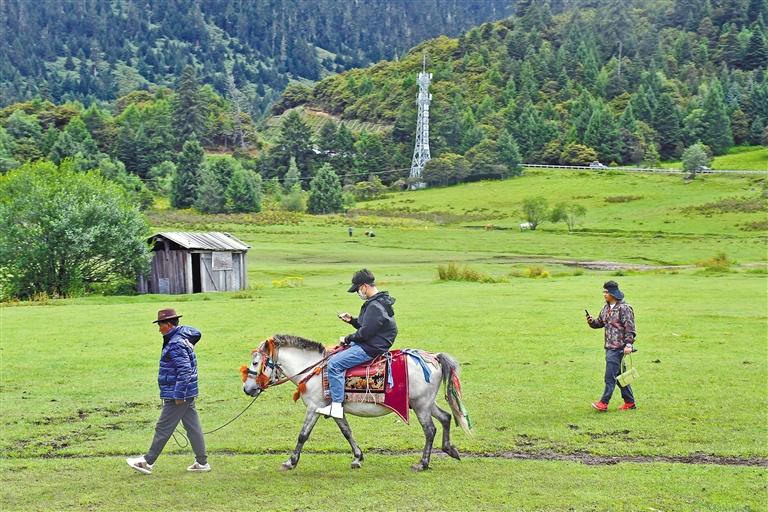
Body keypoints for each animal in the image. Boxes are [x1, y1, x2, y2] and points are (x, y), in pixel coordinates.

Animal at [241, 334, 472, 471]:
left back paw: (423, 463)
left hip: (421, 405)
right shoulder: (334, 408)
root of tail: (433, 358)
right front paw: (358, 457)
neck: (313, 368)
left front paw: (291, 461)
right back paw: (450, 449)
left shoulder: (314, 407)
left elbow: (303, 435)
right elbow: (347, 431)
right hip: (424, 403)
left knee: (430, 430)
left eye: (255, 362)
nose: (247, 389)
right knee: (446, 418)